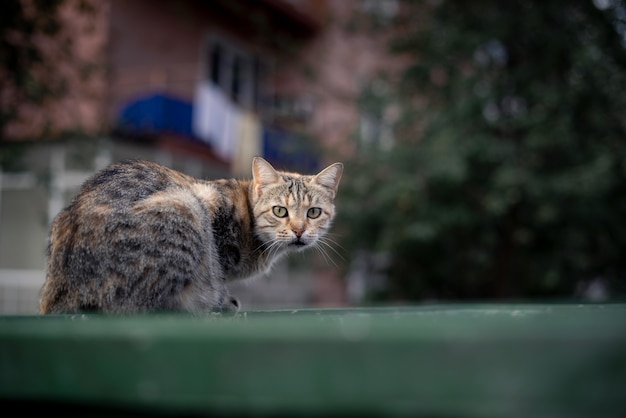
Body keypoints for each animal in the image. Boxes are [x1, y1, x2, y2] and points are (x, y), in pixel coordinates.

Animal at [39, 157, 342, 314]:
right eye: (280, 211)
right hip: (184, 207)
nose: (299, 230)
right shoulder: (206, 203)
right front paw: (224, 300)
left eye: (314, 212)